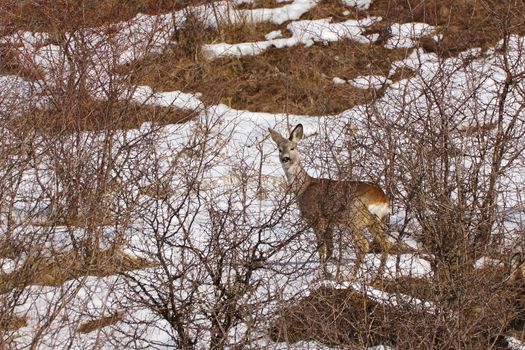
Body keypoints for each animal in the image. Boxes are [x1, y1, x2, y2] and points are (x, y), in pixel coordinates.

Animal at [270, 124, 388, 280]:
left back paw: (351, 277)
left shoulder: (317, 217)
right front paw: (327, 273)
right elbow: (331, 249)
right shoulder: (330, 221)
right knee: (386, 243)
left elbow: (322, 248)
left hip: (354, 217)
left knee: (364, 245)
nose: (285, 159)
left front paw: (320, 275)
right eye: (279, 149)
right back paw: (377, 277)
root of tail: (382, 198)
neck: (303, 187)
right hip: (375, 221)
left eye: (293, 148)